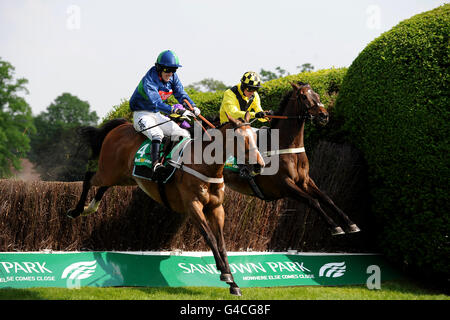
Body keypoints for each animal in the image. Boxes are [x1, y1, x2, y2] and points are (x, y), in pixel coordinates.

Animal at [66, 111, 264, 296]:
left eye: (255, 137)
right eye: (240, 139)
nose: (259, 165)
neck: (204, 163)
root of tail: (121, 126)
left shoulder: (216, 208)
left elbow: (222, 244)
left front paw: (233, 283)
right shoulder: (193, 206)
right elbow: (210, 238)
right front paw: (225, 275)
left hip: (123, 176)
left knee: (103, 187)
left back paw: (91, 207)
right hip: (108, 170)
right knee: (88, 179)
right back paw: (77, 210)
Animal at [223, 82, 360, 235]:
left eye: (317, 94)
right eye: (304, 97)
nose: (324, 116)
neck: (287, 146)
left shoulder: (305, 180)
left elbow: (327, 198)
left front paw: (350, 223)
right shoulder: (285, 184)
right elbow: (313, 201)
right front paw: (334, 226)